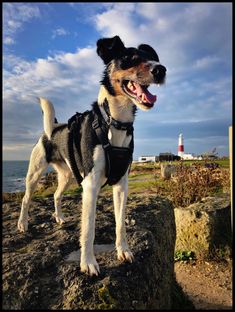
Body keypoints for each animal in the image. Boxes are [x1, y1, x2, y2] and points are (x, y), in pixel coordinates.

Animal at [17, 36, 165, 276]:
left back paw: (59, 217)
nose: (161, 70)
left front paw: (123, 250)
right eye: (129, 58)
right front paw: (87, 262)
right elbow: (88, 229)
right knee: (26, 198)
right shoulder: (90, 185)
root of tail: (52, 128)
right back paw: (22, 223)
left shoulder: (121, 184)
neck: (115, 122)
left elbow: (120, 223)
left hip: (67, 176)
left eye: (152, 58)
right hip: (35, 173)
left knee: (56, 195)